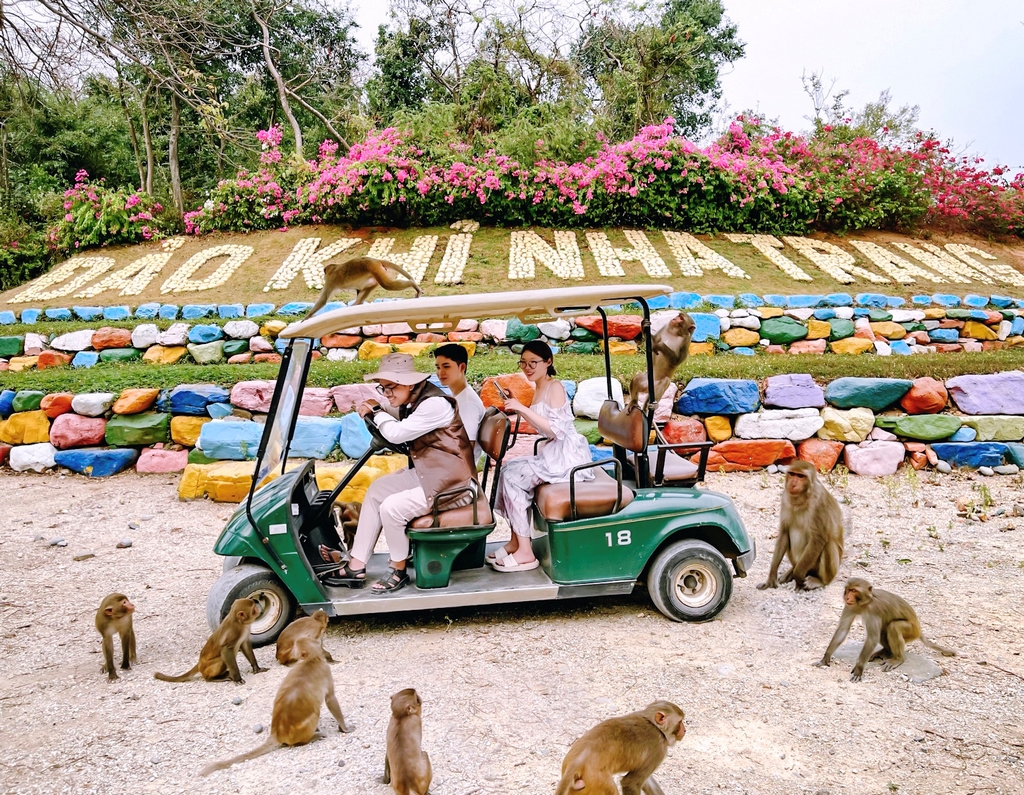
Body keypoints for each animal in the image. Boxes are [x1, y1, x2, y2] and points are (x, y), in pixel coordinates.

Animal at [200, 639, 356, 774]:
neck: (311, 660)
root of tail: (277, 733)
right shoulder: (326, 670)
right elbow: (331, 699)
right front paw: (345, 728)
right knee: (313, 715)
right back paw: (311, 738)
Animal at [552, 700, 688, 795]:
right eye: (680, 722)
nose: (685, 730)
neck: (655, 726)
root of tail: (579, 760)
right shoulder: (659, 750)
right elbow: (631, 783)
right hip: (599, 781)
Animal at [757, 458, 843, 590]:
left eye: (801, 476)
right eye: (792, 474)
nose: (793, 483)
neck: (802, 498)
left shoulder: (820, 504)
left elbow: (818, 539)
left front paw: (798, 575)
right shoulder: (785, 498)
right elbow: (784, 532)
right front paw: (772, 576)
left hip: (823, 568)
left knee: (828, 544)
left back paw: (818, 580)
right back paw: (792, 570)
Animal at [811, 577, 954, 684]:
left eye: (854, 590)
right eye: (848, 590)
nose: (847, 597)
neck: (865, 603)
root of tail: (919, 629)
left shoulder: (873, 610)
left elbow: (872, 638)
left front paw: (859, 669)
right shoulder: (849, 607)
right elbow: (842, 630)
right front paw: (825, 658)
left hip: (912, 631)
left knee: (893, 627)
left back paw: (899, 658)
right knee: (884, 628)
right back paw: (885, 651)